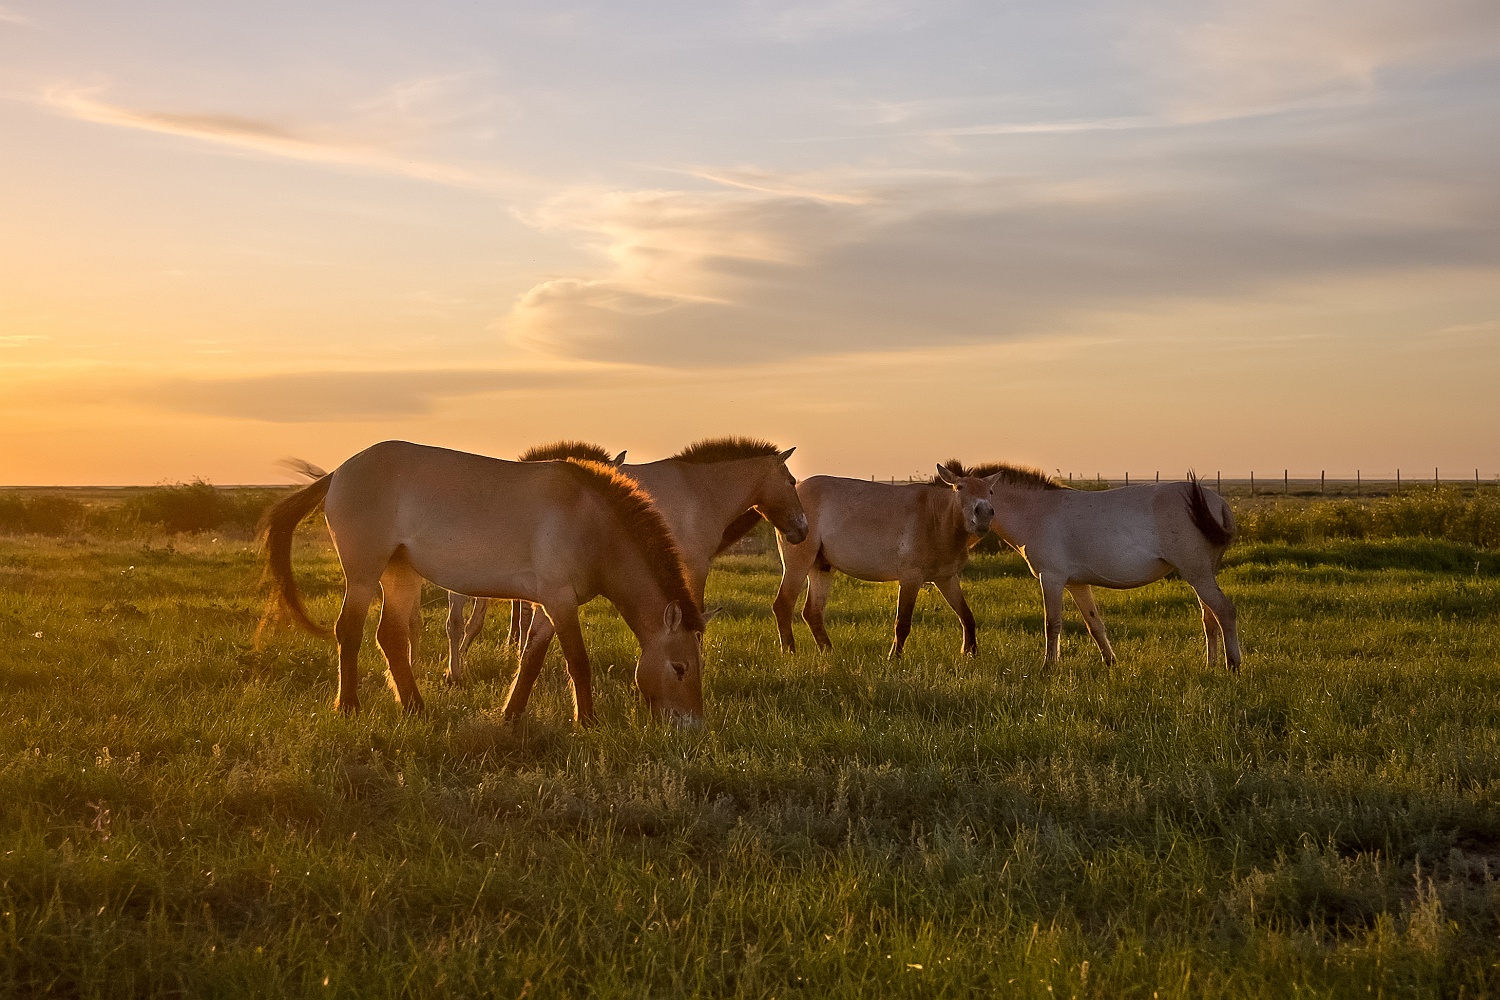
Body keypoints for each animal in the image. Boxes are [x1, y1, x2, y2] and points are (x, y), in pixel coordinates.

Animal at [260, 440, 711, 725]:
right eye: (680, 668)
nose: (691, 725)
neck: (590, 521)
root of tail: (338, 472)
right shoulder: (559, 600)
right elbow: (578, 662)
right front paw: (588, 722)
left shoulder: (549, 605)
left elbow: (530, 659)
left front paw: (511, 715)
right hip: (364, 574)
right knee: (350, 632)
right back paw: (349, 707)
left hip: (401, 575)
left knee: (390, 637)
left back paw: (416, 708)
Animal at [774, 465, 998, 658]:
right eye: (960, 487)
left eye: (990, 491)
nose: (984, 513)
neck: (937, 519)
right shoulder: (910, 578)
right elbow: (903, 623)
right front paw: (894, 657)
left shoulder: (946, 579)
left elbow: (967, 615)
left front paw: (971, 653)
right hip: (799, 563)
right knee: (783, 605)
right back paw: (790, 651)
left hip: (821, 567)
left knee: (812, 612)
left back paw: (829, 651)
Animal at [946, 462, 1240, 670]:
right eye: (959, 488)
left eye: (990, 491)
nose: (984, 516)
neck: (1037, 511)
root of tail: (1218, 502)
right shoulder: (1077, 585)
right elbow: (1094, 624)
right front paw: (1110, 662)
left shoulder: (1051, 579)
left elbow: (1052, 623)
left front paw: (1048, 666)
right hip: (1201, 574)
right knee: (1210, 617)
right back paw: (1211, 664)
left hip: (1197, 573)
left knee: (1224, 611)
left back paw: (1233, 664)